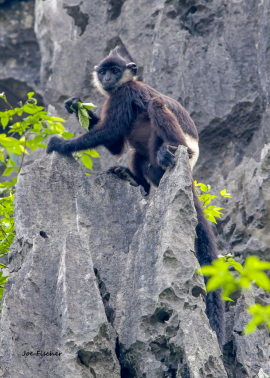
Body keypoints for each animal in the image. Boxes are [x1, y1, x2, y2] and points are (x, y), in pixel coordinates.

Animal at [47, 48, 225, 350]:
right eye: (103, 71)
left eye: (115, 71)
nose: (107, 78)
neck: (122, 85)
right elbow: (116, 142)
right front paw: (75, 107)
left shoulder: (125, 93)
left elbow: (110, 131)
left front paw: (61, 145)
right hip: (148, 162)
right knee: (139, 156)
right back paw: (135, 180)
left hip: (177, 147)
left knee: (155, 105)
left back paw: (170, 153)